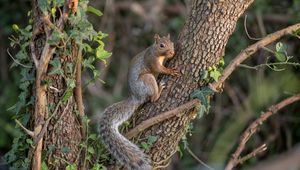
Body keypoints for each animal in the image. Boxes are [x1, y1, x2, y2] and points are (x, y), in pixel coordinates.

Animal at [98, 33, 178, 170]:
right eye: (161, 45)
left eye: (171, 43)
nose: (172, 52)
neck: (155, 52)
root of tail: (136, 96)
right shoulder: (151, 60)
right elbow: (160, 69)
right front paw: (170, 70)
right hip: (147, 79)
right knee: (153, 98)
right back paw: (159, 89)